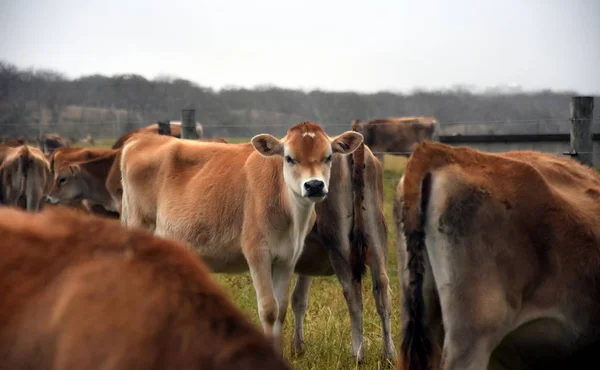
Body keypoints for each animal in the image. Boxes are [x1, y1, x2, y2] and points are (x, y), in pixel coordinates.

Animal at [117, 120, 360, 352]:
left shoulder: (287, 258)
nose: (314, 185)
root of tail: (139, 140)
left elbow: (280, 309)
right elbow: (269, 309)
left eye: (328, 156)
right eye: (289, 158)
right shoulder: (257, 253)